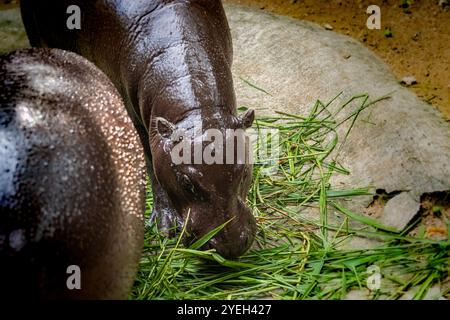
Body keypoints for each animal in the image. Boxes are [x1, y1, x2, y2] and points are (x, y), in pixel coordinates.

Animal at [20, 0, 256, 258]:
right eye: (185, 182)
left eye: (244, 171)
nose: (231, 245)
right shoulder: (141, 123)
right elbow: (151, 165)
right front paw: (165, 225)